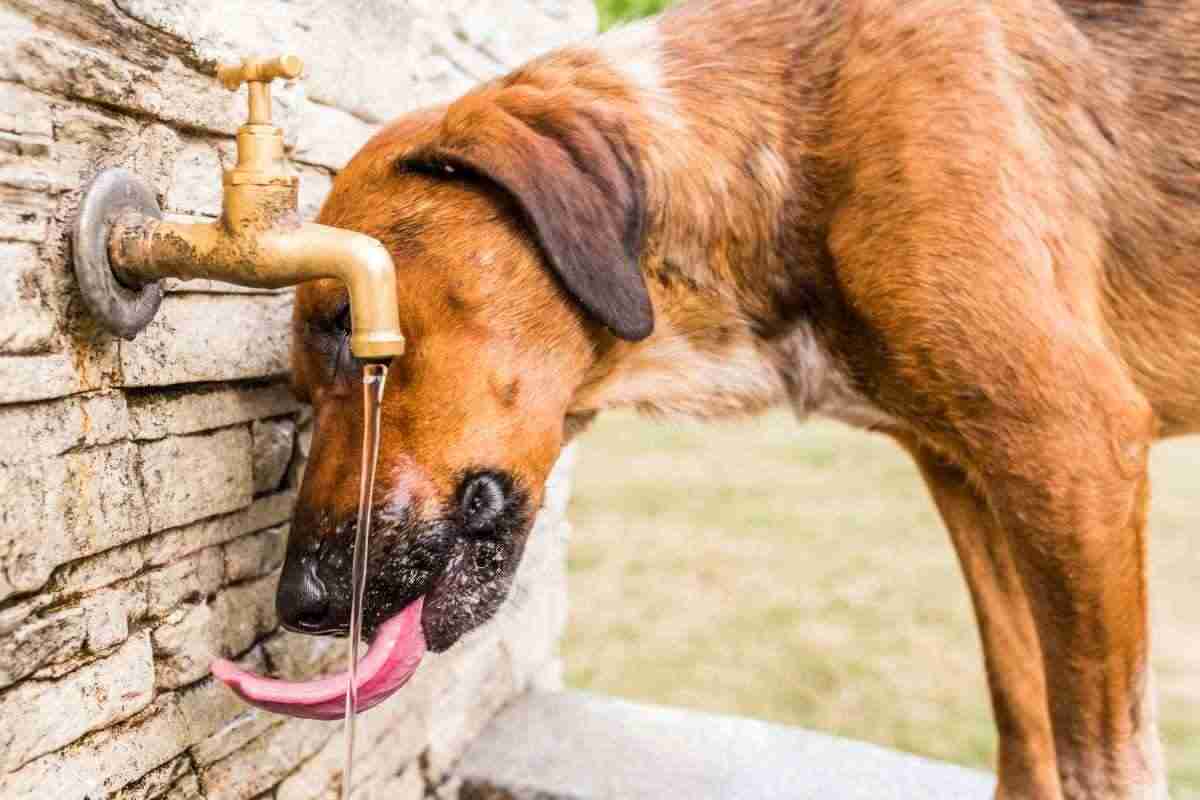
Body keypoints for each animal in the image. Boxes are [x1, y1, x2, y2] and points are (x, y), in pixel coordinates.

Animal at [267, 1, 1195, 796]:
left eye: (348, 323)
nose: (299, 604)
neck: (794, 142)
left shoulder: (1070, 446)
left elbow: (1100, 761)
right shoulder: (965, 475)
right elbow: (1021, 713)